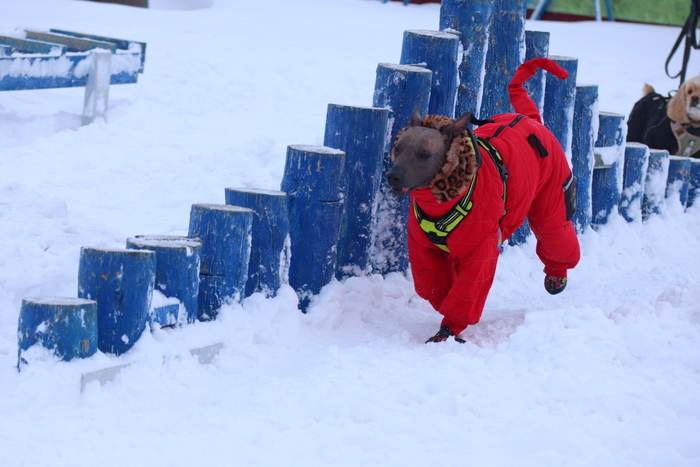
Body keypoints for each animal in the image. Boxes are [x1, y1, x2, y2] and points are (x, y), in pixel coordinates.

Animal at [386, 58, 581, 343]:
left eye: (423, 155)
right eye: (398, 148)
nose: (393, 176)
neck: (444, 200)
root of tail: (530, 119)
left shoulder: (481, 251)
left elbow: (467, 291)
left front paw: (447, 329)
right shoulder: (424, 249)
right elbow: (433, 287)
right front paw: (446, 304)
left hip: (552, 203)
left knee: (556, 235)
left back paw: (557, 275)